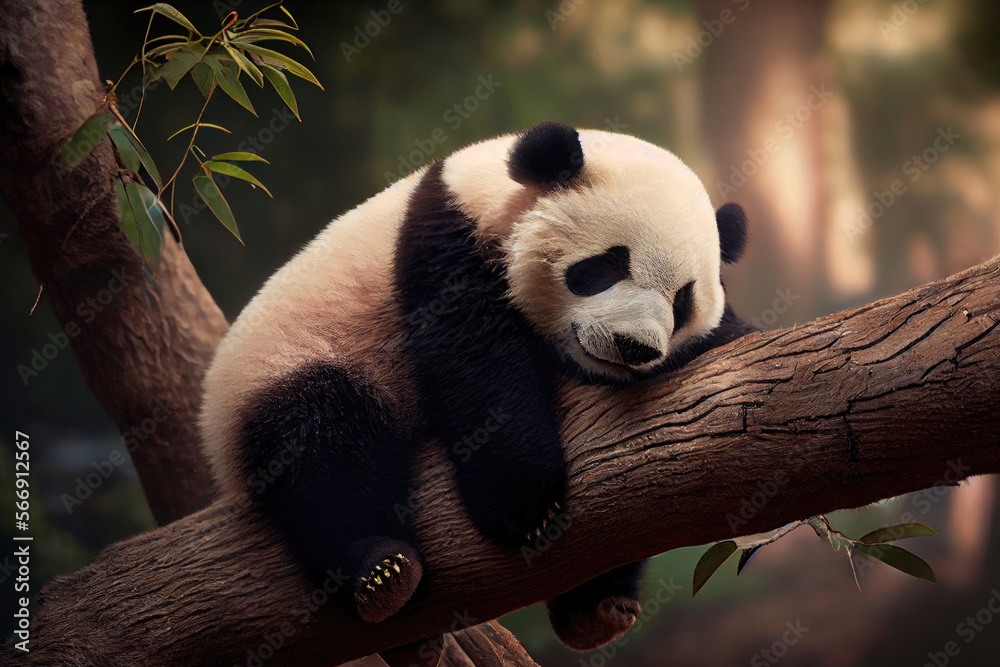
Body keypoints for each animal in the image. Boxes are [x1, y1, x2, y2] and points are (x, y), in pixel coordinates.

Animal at [199, 121, 753, 651]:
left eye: (682, 301)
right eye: (607, 266)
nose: (635, 347)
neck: (485, 191)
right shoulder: (445, 247)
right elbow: (476, 362)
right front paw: (524, 503)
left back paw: (596, 608)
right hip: (288, 363)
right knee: (319, 444)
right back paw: (379, 571)